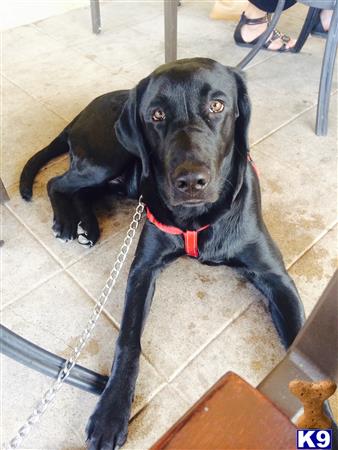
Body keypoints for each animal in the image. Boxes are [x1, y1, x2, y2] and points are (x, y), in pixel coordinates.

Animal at [21, 58, 306, 448]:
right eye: (156, 115)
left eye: (218, 105)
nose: (190, 181)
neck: (199, 218)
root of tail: (85, 109)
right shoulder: (142, 269)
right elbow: (128, 341)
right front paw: (111, 411)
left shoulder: (274, 276)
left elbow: (300, 345)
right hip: (107, 159)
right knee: (57, 182)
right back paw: (68, 222)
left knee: (83, 190)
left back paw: (87, 226)